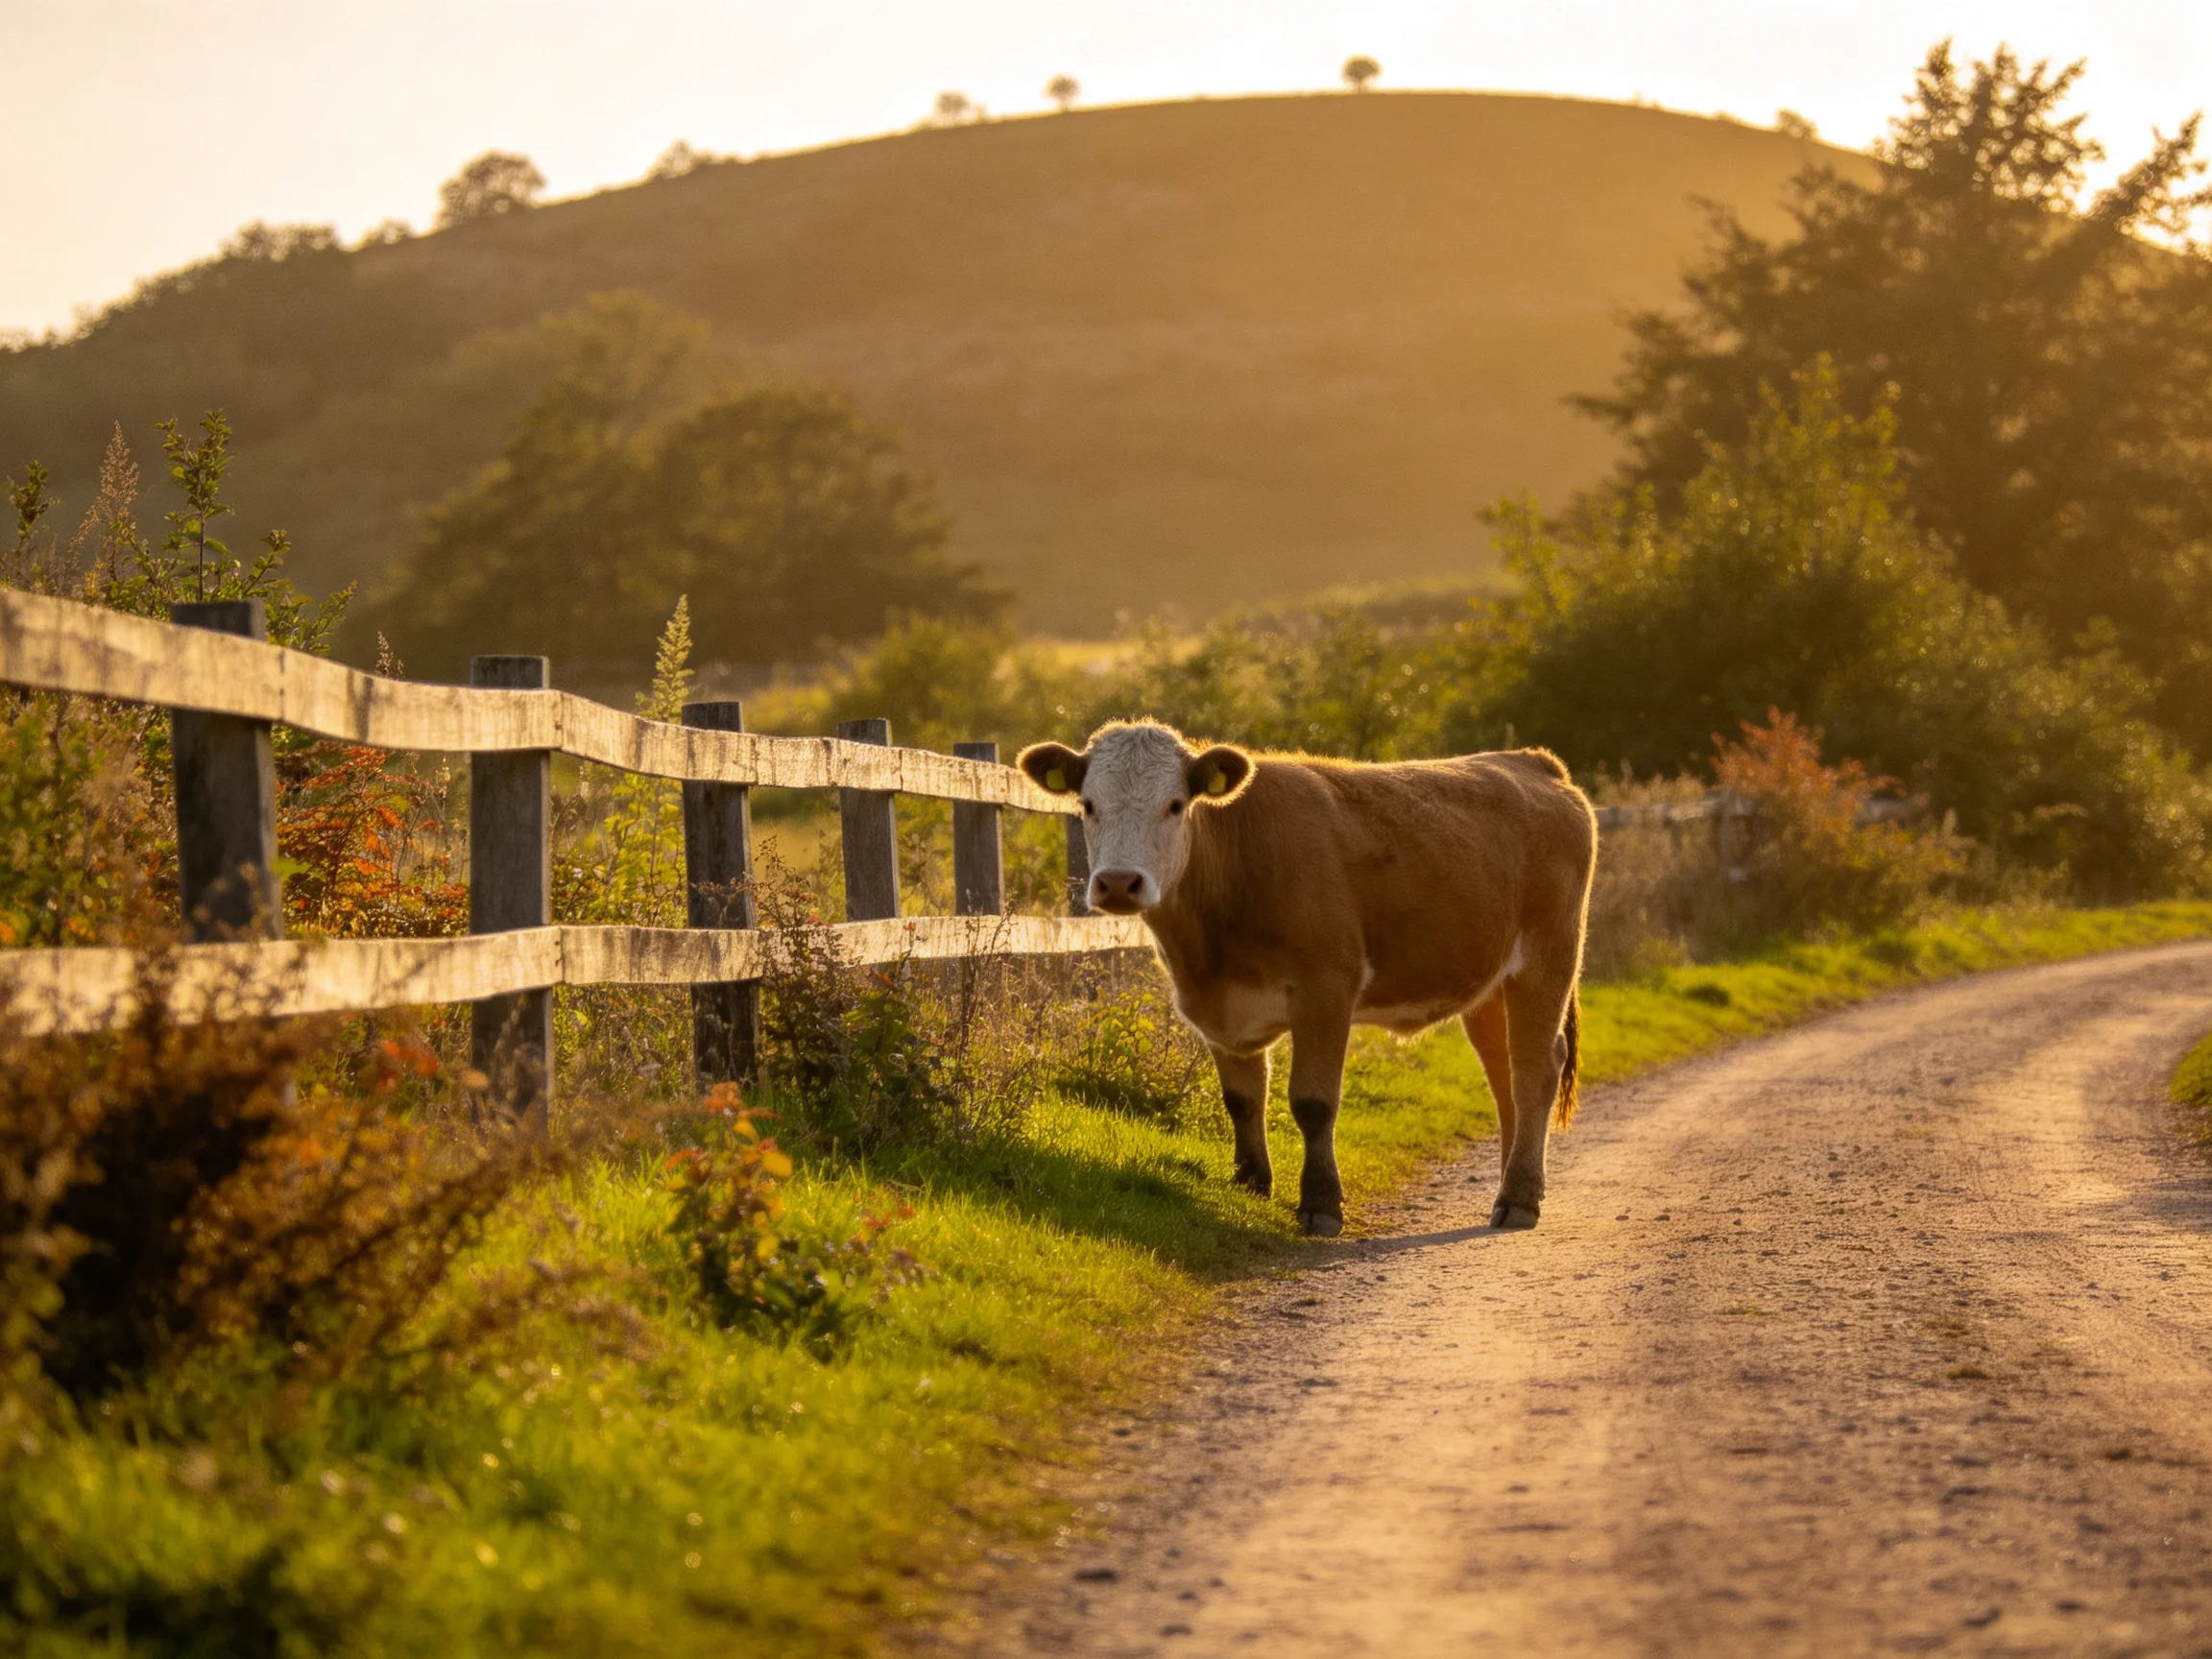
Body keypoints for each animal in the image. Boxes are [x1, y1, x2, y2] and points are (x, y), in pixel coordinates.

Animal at [1018, 720, 1596, 1235]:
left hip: (1547, 959)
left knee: (1534, 1070)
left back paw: (1518, 1198)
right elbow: (1242, 1099)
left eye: (1175, 805)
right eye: (1087, 805)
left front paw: (1320, 1204)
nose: (1118, 883)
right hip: (1488, 983)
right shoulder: (1219, 1006)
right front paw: (1250, 1184)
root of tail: (1528, 760)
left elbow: (1313, 1104)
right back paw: (1514, 1183)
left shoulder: (1326, 988)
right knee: (1503, 1075)